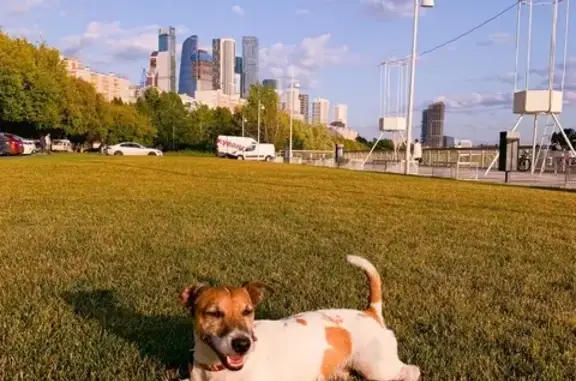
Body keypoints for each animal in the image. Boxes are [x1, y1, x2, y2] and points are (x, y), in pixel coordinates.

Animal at [181, 255, 424, 380]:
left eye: (248, 311)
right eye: (214, 313)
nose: (243, 344)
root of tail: (370, 312)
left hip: (378, 368)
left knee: (412, 370)